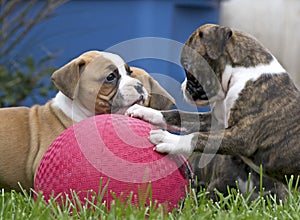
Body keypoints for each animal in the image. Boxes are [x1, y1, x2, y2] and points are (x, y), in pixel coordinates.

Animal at [126, 24, 298, 199]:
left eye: (188, 70)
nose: (182, 87)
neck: (242, 75)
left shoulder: (242, 137)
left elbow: (198, 137)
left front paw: (169, 140)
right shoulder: (217, 121)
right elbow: (179, 116)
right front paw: (146, 111)